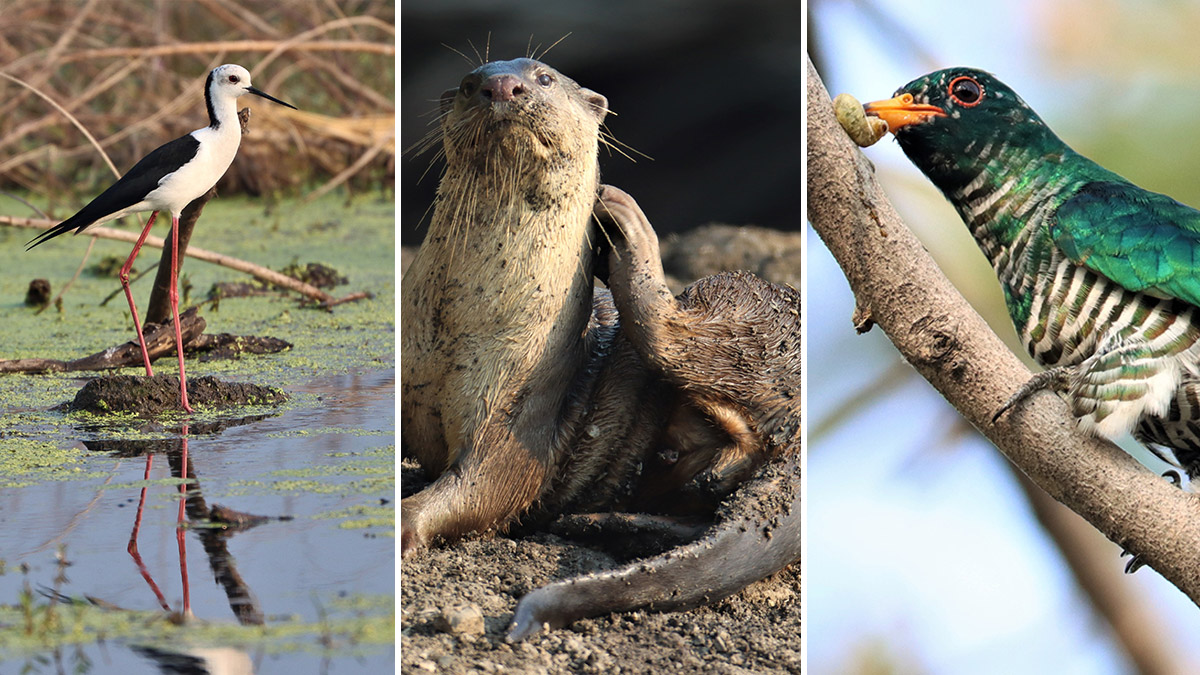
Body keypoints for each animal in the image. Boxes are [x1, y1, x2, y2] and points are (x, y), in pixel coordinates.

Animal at [398, 56, 801, 634]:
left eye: (543, 77)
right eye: (472, 83)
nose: (501, 86)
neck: (454, 329)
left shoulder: (518, 410)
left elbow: (487, 489)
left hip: (737, 301)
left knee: (675, 338)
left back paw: (625, 222)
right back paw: (603, 522)